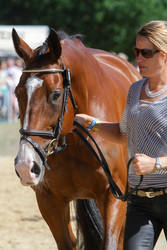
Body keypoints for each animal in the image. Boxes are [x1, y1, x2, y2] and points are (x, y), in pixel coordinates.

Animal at [12, 28, 141, 249]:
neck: (73, 141)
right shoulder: (49, 199)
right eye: (17, 92)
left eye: (56, 94)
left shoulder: (114, 196)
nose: (25, 166)